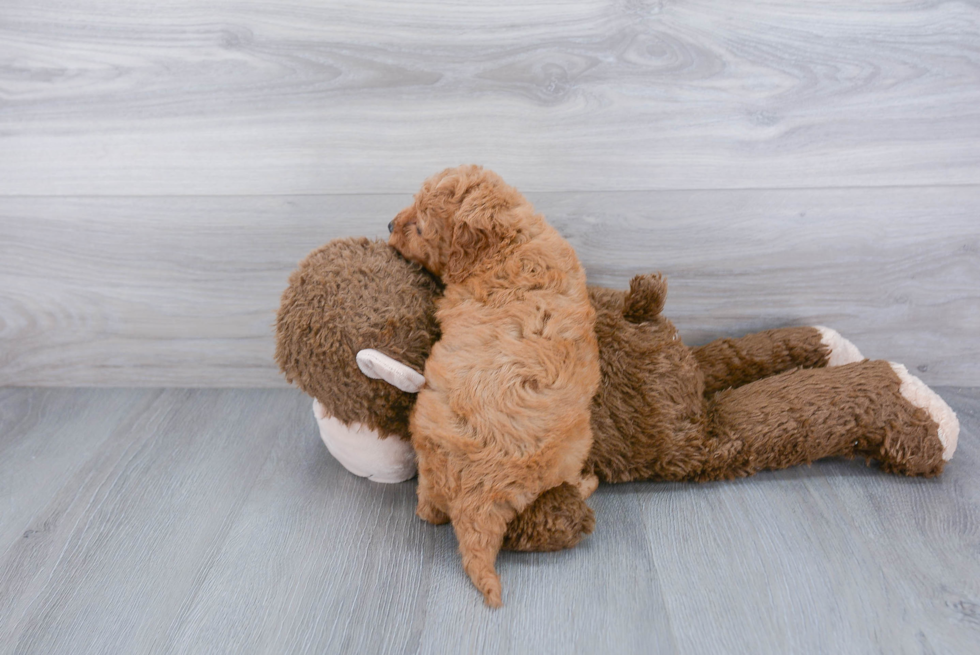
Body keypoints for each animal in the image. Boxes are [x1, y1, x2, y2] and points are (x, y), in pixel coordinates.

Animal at [386, 167, 600, 608]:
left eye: (419, 226)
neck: (509, 244)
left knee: (428, 507)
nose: (388, 225)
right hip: (571, 447)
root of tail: (480, 498)